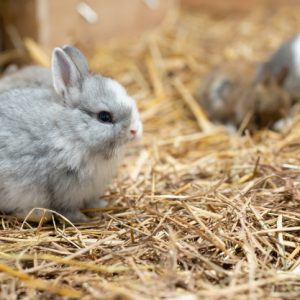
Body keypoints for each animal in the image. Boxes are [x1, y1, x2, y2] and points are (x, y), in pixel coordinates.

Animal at [0, 45, 144, 223]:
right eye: (104, 117)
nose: (135, 130)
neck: (72, 132)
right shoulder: (65, 189)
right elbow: (67, 209)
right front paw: (81, 219)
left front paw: (101, 204)